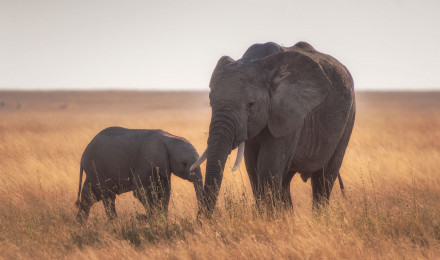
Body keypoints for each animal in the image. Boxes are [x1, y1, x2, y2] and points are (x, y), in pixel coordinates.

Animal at [75, 127, 203, 222]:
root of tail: (83, 155)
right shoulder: (143, 164)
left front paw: (163, 219)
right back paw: (114, 223)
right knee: (107, 196)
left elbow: (165, 192)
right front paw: (153, 219)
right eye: (184, 164)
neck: (169, 138)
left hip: (94, 170)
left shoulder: (163, 167)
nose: (198, 218)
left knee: (89, 196)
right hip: (96, 167)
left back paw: (81, 225)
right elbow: (141, 192)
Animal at [191, 41, 356, 212]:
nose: (202, 218)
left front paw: (268, 216)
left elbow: (268, 167)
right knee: (286, 181)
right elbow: (253, 168)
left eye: (251, 104)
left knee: (324, 178)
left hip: (348, 117)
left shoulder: (290, 113)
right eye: (211, 102)